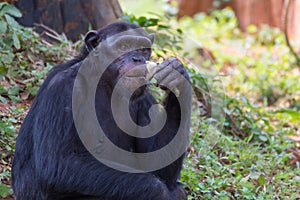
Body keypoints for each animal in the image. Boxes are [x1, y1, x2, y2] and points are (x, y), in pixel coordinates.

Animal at [11, 21, 191, 199]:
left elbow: (156, 163)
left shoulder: (144, 98)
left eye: (143, 50)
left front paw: (177, 75)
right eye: (123, 46)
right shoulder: (62, 88)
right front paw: (161, 193)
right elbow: (58, 163)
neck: (105, 83)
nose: (137, 58)